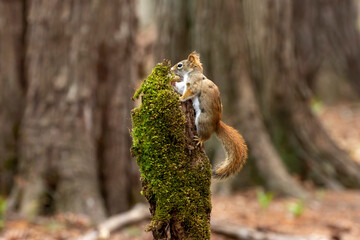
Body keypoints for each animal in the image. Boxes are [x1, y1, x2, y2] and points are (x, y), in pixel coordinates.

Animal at [170, 51, 246, 179]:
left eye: (180, 65)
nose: (171, 69)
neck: (193, 72)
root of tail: (216, 124)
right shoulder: (184, 85)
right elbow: (180, 88)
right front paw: (171, 81)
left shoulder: (193, 84)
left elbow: (189, 93)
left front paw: (179, 99)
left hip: (202, 120)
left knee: (206, 136)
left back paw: (200, 140)